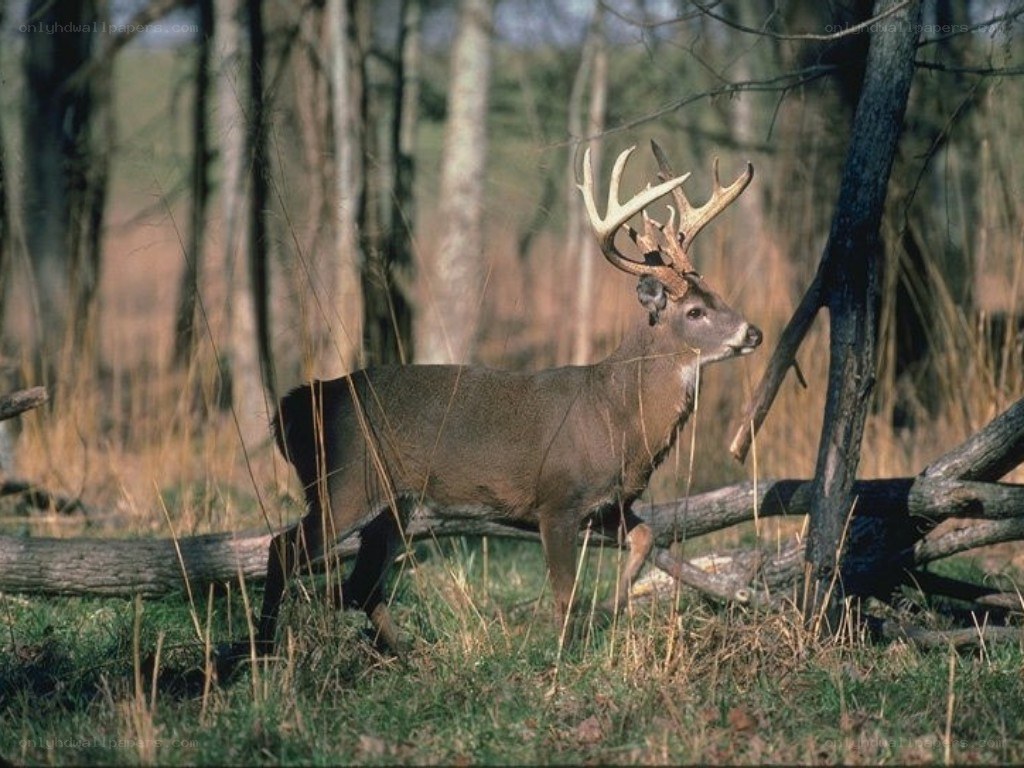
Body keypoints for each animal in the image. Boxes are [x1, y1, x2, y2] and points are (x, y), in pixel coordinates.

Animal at [250, 141, 762, 657]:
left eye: (715, 293)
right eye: (694, 311)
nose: (753, 332)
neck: (616, 416)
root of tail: (295, 405)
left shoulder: (609, 505)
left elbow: (646, 538)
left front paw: (609, 609)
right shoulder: (557, 499)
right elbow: (565, 593)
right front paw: (563, 656)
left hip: (396, 505)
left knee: (360, 584)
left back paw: (405, 655)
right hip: (345, 483)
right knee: (284, 549)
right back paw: (264, 647)